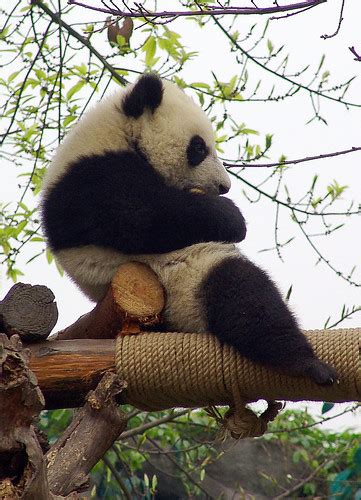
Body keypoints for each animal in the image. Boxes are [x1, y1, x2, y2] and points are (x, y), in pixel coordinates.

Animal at [41, 70, 338, 384]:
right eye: (198, 147)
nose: (224, 186)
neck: (117, 133)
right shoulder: (92, 179)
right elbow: (144, 220)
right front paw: (232, 217)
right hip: (181, 280)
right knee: (243, 294)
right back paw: (306, 363)